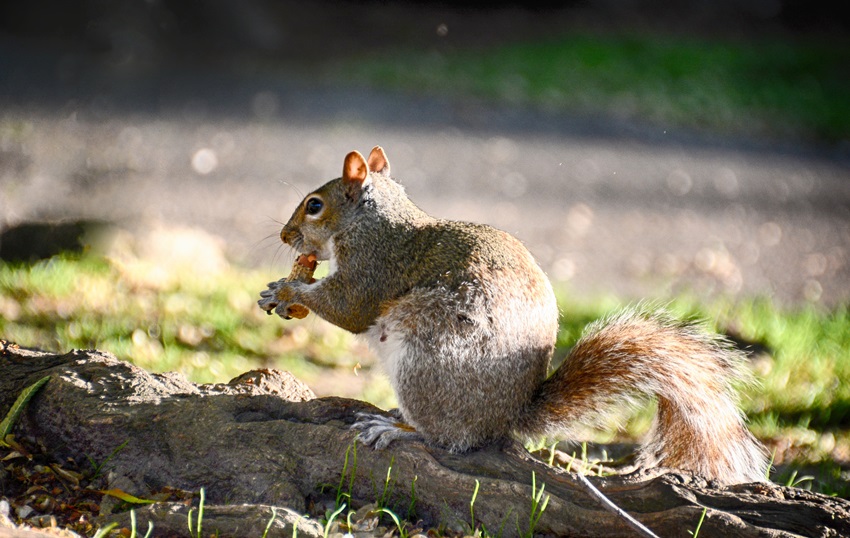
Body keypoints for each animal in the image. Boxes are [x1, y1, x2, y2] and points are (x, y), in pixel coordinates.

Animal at [255, 143, 764, 482]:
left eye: (314, 205)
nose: (283, 236)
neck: (373, 221)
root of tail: (505, 418)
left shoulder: (374, 265)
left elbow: (350, 308)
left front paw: (287, 290)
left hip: (425, 354)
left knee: (447, 438)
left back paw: (397, 428)